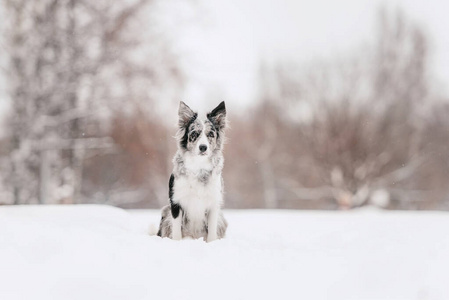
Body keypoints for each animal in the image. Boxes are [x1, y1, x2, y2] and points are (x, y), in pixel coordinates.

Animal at [157, 102, 228, 243]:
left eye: (211, 134)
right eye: (194, 133)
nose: (203, 147)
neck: (199, 166)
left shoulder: (214, 204)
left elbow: (212, 233)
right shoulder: (175, 202)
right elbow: (176, 232)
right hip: (166, 211)